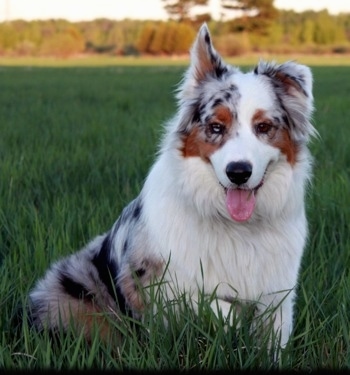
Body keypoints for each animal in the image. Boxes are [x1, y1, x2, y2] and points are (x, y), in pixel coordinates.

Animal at [28, 25, 316, 352]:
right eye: (216, 127)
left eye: (264, 127)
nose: (239, 173)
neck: (236, 226)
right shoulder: (151, 280)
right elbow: (213, 305)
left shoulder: (278, 294)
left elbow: (270, 338)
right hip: (68, 284)